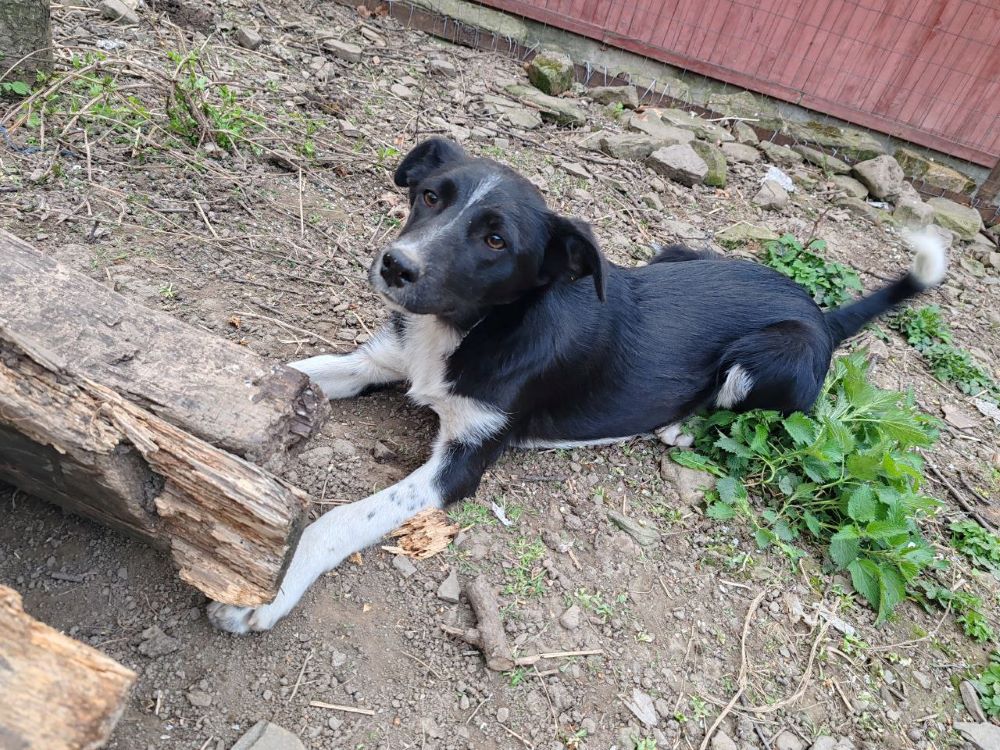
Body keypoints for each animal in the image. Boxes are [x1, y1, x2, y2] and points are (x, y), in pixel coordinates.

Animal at [205, 137, 944, 636]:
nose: (395, 265)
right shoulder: (383, 358)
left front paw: (264, 596)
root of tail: (822, 311)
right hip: (674, 253)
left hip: (770, 358)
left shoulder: (460, 465)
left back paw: (677, 423)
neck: (469, 331)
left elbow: (338, 520)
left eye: (496, 241)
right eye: (430, 196)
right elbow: (299, 371)